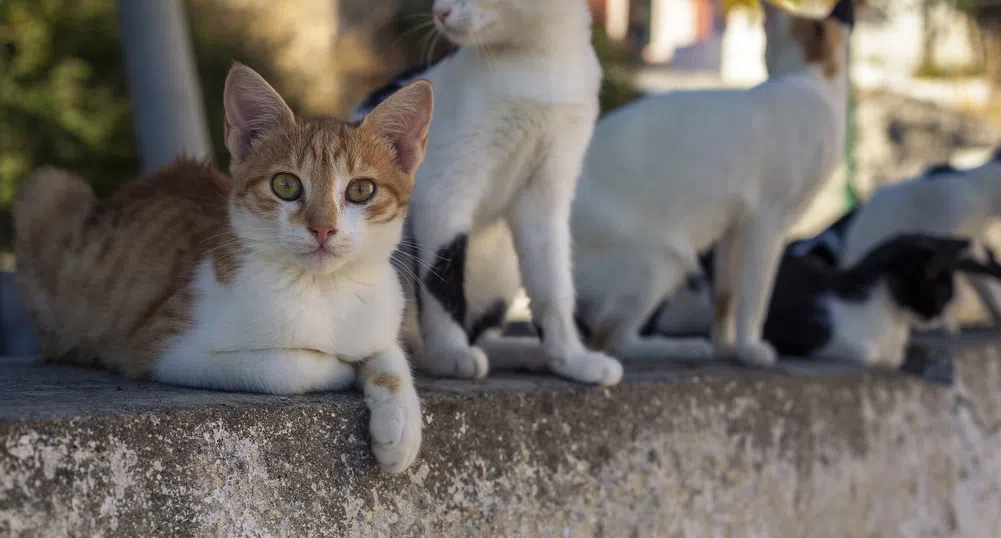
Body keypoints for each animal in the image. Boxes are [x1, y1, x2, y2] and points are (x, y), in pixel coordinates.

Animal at [12, 63, 434, 474]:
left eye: (361, 191)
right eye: (286, 185)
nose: (322, 228)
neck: (323, 289)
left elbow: (389, 355)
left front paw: (400, 428)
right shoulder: (166, 349)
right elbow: (284, 368)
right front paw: (341, 368)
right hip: (47, 190)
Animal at [350, 1, 616, 386]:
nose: (440, 11)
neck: (536, 63)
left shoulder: (548, 193)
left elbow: (553, 285)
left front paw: (571, 358)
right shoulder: (443, 189)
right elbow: (441, 274)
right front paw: (450, 353)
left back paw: (529, 354)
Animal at [572, 0, 852, 364]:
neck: (815, 85)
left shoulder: (733, 228)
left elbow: (725, 296)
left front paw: (726, 346)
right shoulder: (766, 220)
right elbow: (754, 297)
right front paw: (750, 349)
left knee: (600, 332)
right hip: (664, 260)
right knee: (610, 341)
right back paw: (683, 347)